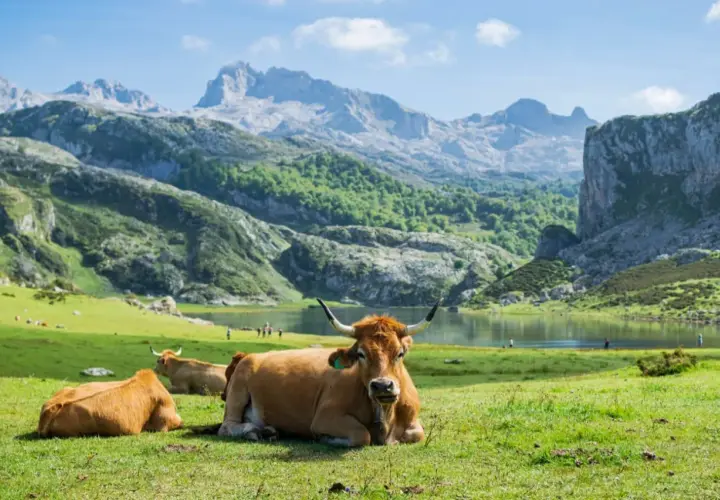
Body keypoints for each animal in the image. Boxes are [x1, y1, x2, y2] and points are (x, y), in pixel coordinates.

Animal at [218, 298, 439, 447]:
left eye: (400, 353)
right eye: (361, 354)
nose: (383, 386)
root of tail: (248, 356)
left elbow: (416, 434)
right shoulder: (325, 416)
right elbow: (361, 435)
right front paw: (327, 438)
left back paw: (270, 430)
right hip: (237, 393)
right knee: (227, 427)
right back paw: (255, 431)